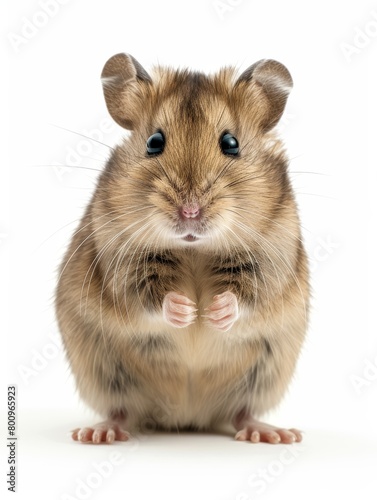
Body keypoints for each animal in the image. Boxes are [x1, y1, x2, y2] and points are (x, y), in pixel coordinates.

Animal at [55, 53, 308, 446]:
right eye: (154, 142)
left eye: (231, 143)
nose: (190, 211)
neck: (194, 250)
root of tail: (187, 417)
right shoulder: (120, 259)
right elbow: (147, 297)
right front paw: (188, 312)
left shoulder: (271, 257)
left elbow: (248, 296)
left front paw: (213, 312)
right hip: (105, 373)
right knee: (122, 410)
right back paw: (98, 433)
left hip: (263, 375)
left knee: (241, 412)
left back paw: (274, 434)